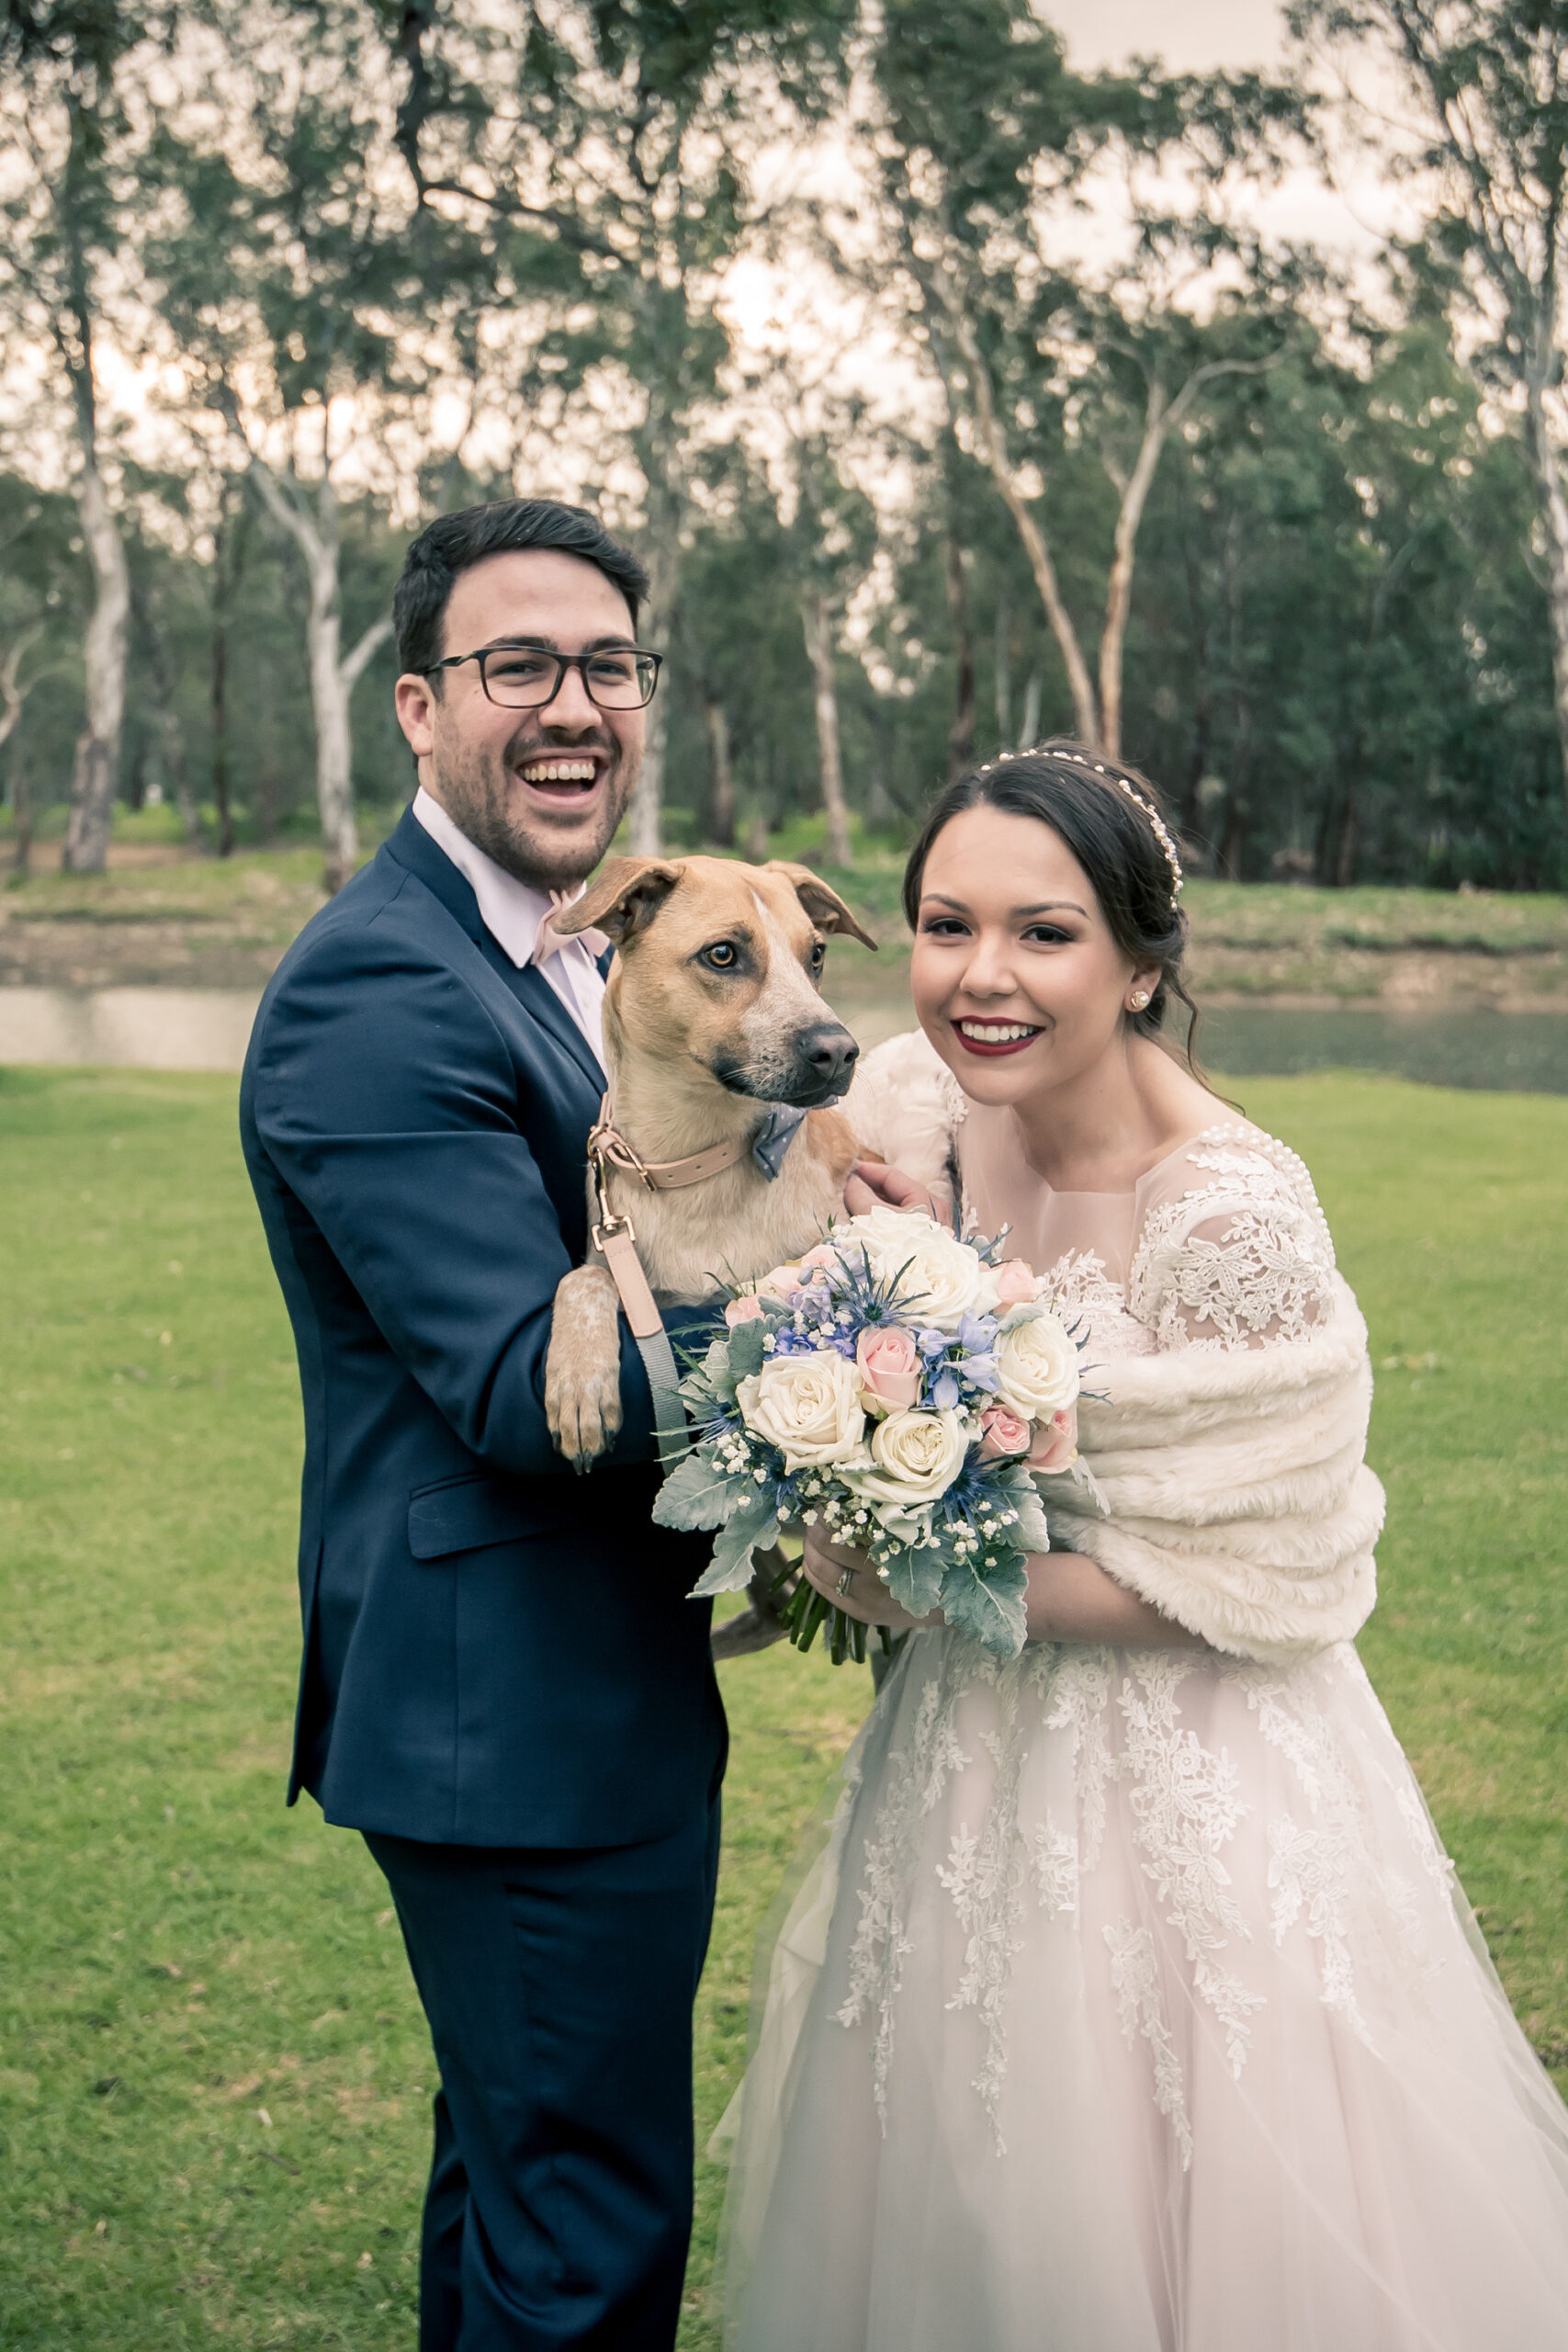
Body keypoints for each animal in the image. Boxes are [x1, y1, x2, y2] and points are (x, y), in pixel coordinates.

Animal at [545, 846, 879, 1467]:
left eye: (816, 955)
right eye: (722, 954)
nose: (841, 1052)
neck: (694, 1162)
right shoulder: (616, 1259)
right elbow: (583, 1279)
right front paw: (578, 1381)